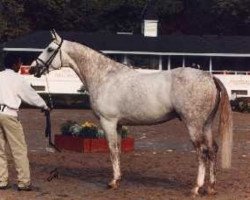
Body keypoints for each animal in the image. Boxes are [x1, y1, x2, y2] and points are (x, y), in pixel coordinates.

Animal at [30, 30, 233, 195]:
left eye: (50, 49)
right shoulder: (119, 124)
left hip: (193, 124)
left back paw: (196, 188)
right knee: (212, 149)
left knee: (202, 151)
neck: (104, 77)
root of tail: (209, 77)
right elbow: (118, 150)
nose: (33, 68)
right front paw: (118, 179)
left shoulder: (108, 122)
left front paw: (112, 182)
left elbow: (112, 150)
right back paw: (211, 187)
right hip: (206, 124)